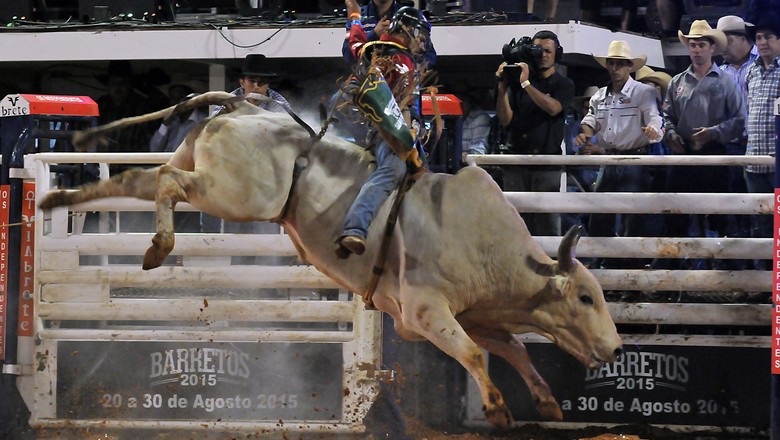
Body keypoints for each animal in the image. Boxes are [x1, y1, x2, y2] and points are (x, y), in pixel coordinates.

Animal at [39, 91, 620, 428]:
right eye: (585, 297)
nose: (614, 348)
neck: (489, 248)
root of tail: (247, 109)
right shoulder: (425, 314)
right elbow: (476, 355)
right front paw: (499, 410)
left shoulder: (480, 315)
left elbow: (514, 349)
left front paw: (546, 404)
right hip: (234, 194)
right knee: (166, 182)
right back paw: (157, 246)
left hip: (202, 169)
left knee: (143, 177)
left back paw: (57, 199)